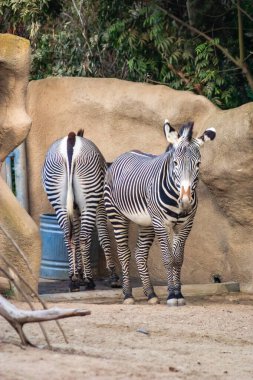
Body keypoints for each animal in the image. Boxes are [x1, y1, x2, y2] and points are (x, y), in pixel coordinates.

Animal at [41, 129, 120, 292]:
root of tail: (71, 139)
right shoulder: (100, 205)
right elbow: (103, 237)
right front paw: (113, 277)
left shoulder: (75, 210)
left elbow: (76, 238)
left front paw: (78, 275)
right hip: (89, 199)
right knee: (84, 237)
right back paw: (90, 281)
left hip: (59, 199)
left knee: (68, 236)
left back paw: (73, 281)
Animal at [104, 121, 216, 306]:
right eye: (175, 163)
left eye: (198, 164)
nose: (186, 201)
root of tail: (125, 154)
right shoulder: (161, 223)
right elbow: (168, 259)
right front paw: (171, 295)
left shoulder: (185, 225)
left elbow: (178, 259)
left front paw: (178, 293)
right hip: (117, 215)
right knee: (124, 253)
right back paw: (127, 294)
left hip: (146, 222)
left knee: (140, 254)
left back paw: (151, 294)